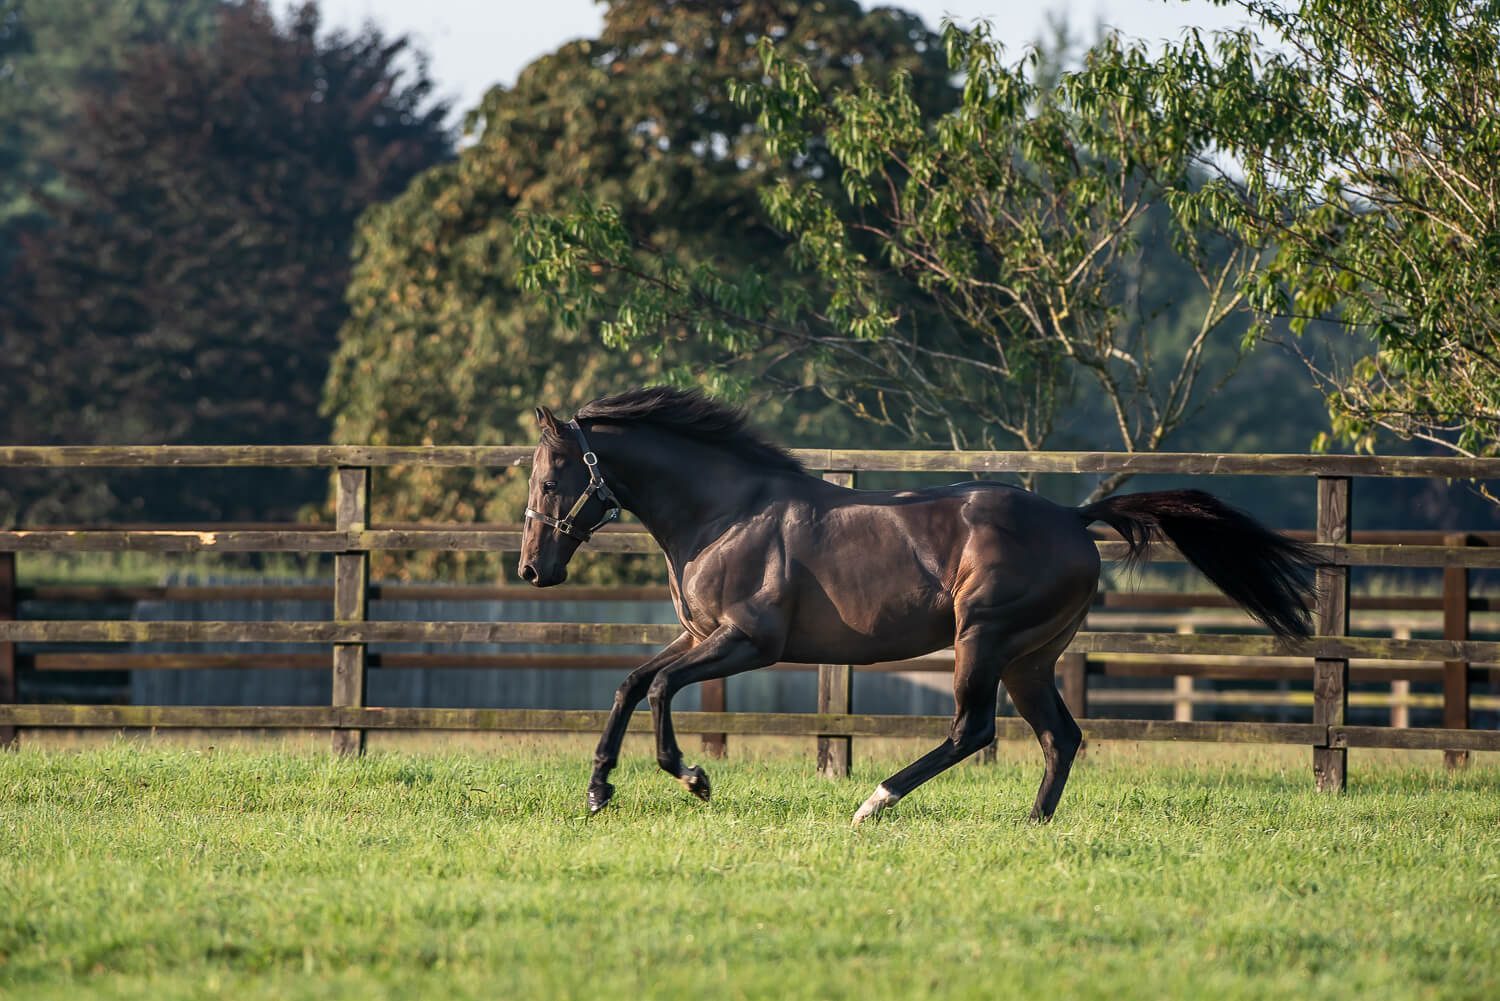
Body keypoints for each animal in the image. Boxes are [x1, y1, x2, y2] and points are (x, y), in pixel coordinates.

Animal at [516, 384, 1314, 822]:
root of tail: (1072, 516)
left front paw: (693, 777)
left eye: (551, 478)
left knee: (973, 730)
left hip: (982, 641)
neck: (724, 512)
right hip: (1030, 659)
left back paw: (873, 803)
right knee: (1059, 737)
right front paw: (598, 790)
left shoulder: (747, 642)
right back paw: (1032, 825)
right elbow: (632, 682)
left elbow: (657, 691)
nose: (531, 568)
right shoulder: (700, 635)